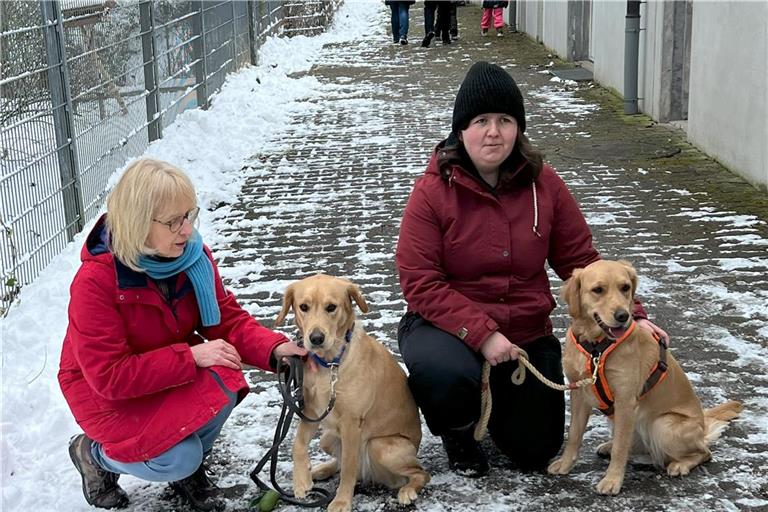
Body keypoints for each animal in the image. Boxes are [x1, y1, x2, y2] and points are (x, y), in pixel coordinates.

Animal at [276, 274, 432, 512]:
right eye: (303, 307)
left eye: (331, 307)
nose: (316, 338)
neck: (329, 364)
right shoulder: (311, 412)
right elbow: (298, 444)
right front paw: (301, 481)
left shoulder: (351, 423)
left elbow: (348, 468)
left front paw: (341, 501)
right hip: (328, 439)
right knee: (341, 463)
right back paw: (320, 470)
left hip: (381, 446)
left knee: (420, 473)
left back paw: (408, 491)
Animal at [548, 262, 740, 494]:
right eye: (598, 290)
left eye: (625, 287)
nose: (622, 316)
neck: (596, 347)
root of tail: (702, 426)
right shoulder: (579, 393)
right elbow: (574, 435)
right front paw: (565, 464)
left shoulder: (625, 400)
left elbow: (621, 447)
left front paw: (612, 480)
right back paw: (609, 446)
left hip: (663, 425)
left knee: (704, 452)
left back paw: (680, 465)